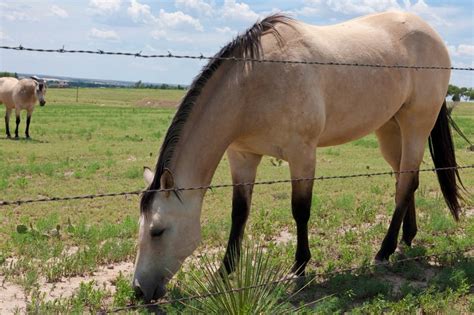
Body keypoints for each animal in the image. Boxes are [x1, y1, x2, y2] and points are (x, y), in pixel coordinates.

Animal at [131, 12, 462, 304]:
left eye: (157, 231)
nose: (138, 291)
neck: (254, 83)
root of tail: (432, 34)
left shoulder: (302, 154)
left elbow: (300, 210)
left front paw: (300, 267)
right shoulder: (242, 156)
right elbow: (239, 213)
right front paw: (224, 272)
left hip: (415, 125)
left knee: (406, 183)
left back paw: (384, 250)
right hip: (390, 128)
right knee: (405, 180)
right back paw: (406, 238)